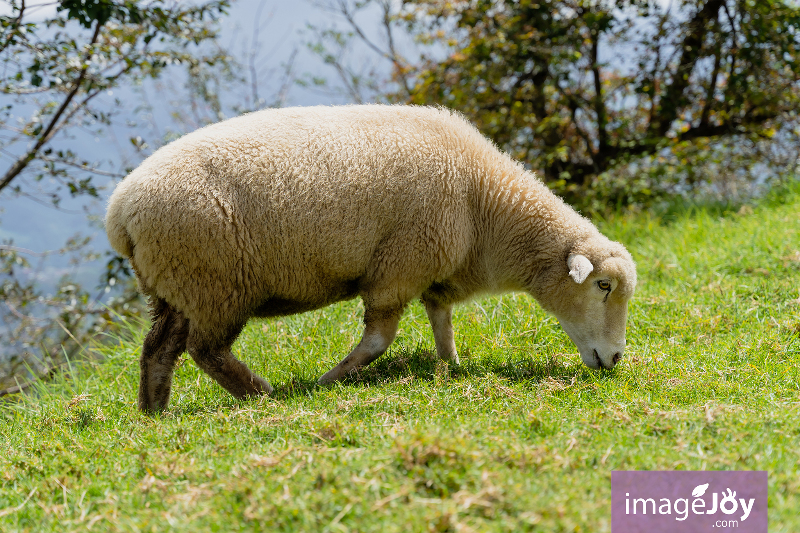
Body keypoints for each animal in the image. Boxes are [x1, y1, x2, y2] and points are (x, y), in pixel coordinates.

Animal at [104, 104, 636, 412]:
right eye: (602, 285)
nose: (614, 359)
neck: (484, 204)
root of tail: (122, 211)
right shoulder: (398, 267)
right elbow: (379, 341)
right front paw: (330, 379)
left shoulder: (430, 270)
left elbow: (441, 321)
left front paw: (450, 366)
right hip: (215, 282)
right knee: (205, 350)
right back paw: (262, 394)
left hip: (175, 287)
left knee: (159, 349)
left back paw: (153, 411)